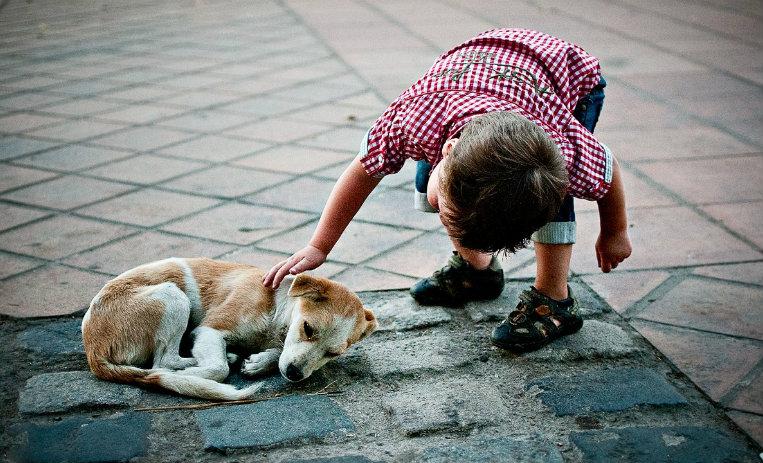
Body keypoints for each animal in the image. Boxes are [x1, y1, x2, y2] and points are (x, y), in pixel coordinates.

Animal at [81, 258, 380, 402]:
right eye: (308, 328)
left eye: (332, 353)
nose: (295, 374)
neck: (276, 307)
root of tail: (93, 350)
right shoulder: (210, 330)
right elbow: (219, 369)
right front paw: (194, 375)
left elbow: (277, 352)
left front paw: (259, 362)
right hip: (172, 296)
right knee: (162, 363)